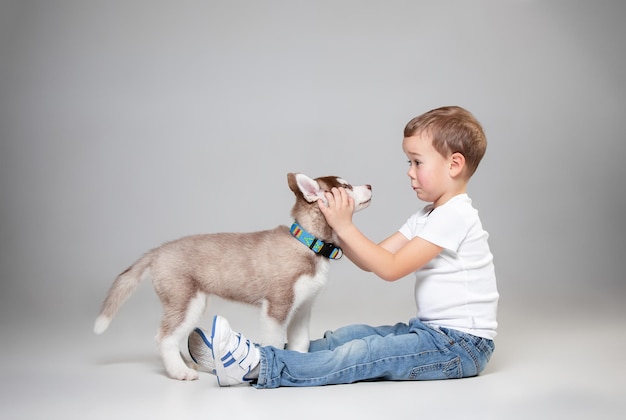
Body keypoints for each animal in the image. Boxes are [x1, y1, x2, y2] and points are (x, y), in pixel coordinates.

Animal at [92, 174, 370, 380]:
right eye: (345, 186)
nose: (369, 185)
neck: (308, 243)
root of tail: (158, 251)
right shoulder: (276, 307)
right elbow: (274, 341)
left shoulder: (303, 307)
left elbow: (300, 343)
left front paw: (300, 364)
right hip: (185, 301)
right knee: (164, 338)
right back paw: (179, 372)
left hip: (193, 303)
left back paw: (185, 364)